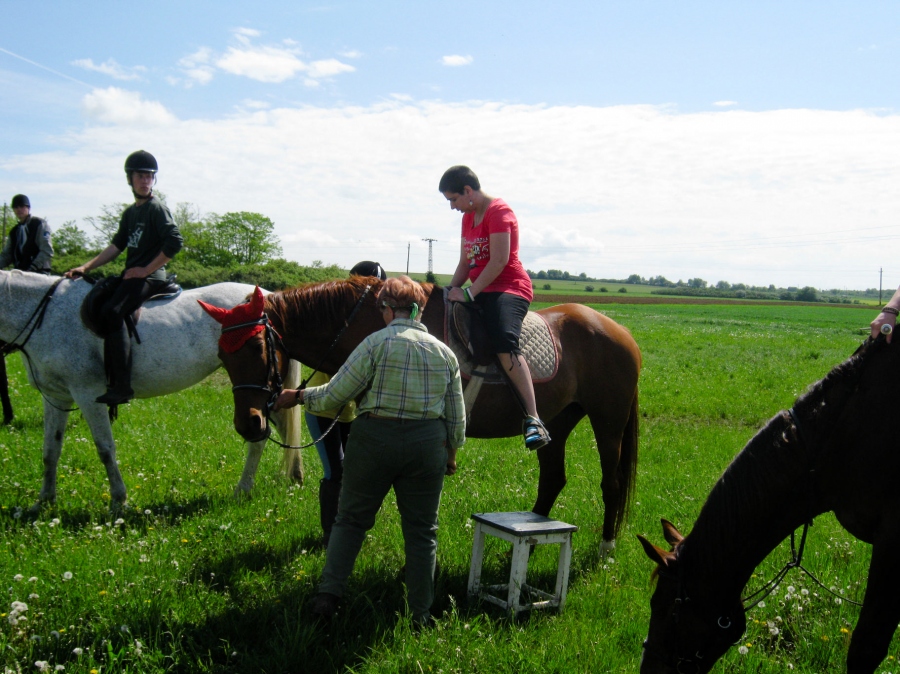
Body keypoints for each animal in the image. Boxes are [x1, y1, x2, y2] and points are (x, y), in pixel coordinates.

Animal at [0, 270, 302, 514]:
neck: (47, 315)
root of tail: (269, 296)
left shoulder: (87, 394)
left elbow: (105, 449)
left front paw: (118, 501)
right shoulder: (56, 397)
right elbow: (51, 449)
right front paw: (44, 501)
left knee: (261, 436)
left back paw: (244, 488)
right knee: (282, 429)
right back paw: (294, 479)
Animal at [202, 276, 642, 551]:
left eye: (256, 347)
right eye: (222, 354)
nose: (249, 423)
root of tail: (621, 332)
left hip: (608, 422)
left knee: (611, 483)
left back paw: (605, 548)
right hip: (559, 420)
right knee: (552, 479)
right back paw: (530, 537)